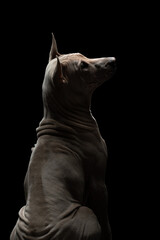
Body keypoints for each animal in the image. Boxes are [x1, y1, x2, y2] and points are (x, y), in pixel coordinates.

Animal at [10, 32, 116, 239]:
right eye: (83, 66)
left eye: (84, 55)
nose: (112, 60)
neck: (63, 118)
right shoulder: (98, 182)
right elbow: (105, 219)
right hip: (86, 214)